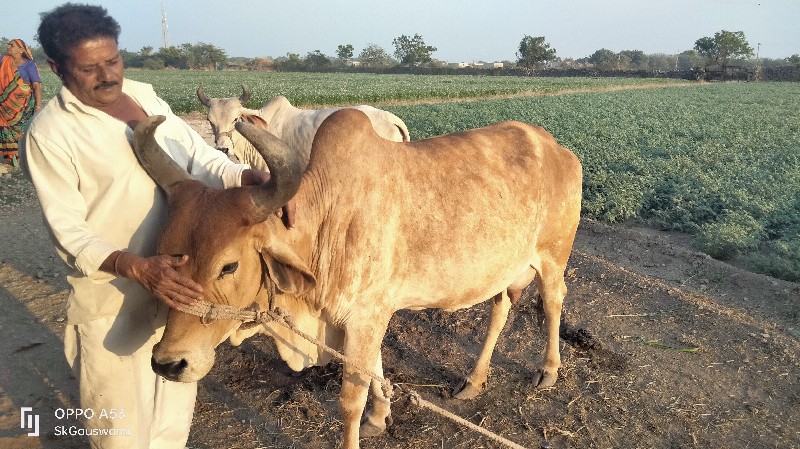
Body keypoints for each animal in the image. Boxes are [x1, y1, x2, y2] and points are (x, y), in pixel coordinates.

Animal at [139, 109, 580, 448]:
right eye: (165, 250)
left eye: (228, 266)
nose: (168, 363)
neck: (325, 223)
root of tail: (557, 148)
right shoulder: (368, 316)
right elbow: (375, 370)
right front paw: (380, 416)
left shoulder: (365, 315)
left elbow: (351, 398)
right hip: (504, 270)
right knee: (500, 309)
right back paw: (473, 380)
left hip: (552, 258)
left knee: (554, 300)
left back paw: (548, 371)